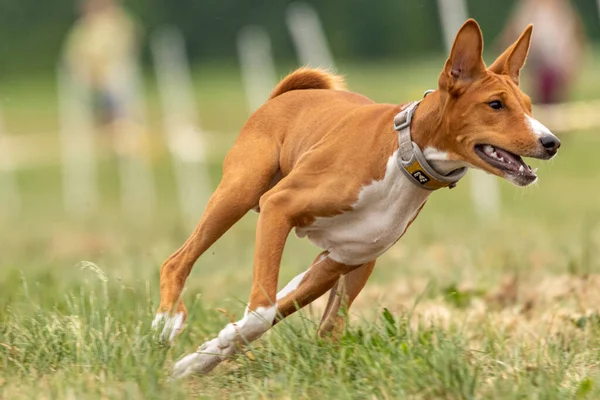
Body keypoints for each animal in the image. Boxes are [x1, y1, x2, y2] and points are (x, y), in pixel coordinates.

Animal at [152, 19, 560, 378]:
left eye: (528, 105)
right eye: (495, 105)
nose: (551, 142)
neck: (404, 157)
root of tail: (285, 95)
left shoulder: (346, 259)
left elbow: (307, 322)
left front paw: (199, 360)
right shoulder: (278, 207)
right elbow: (260, 313)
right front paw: (201, 356)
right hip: (240, 192)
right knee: (176, 261)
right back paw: (166, 323)